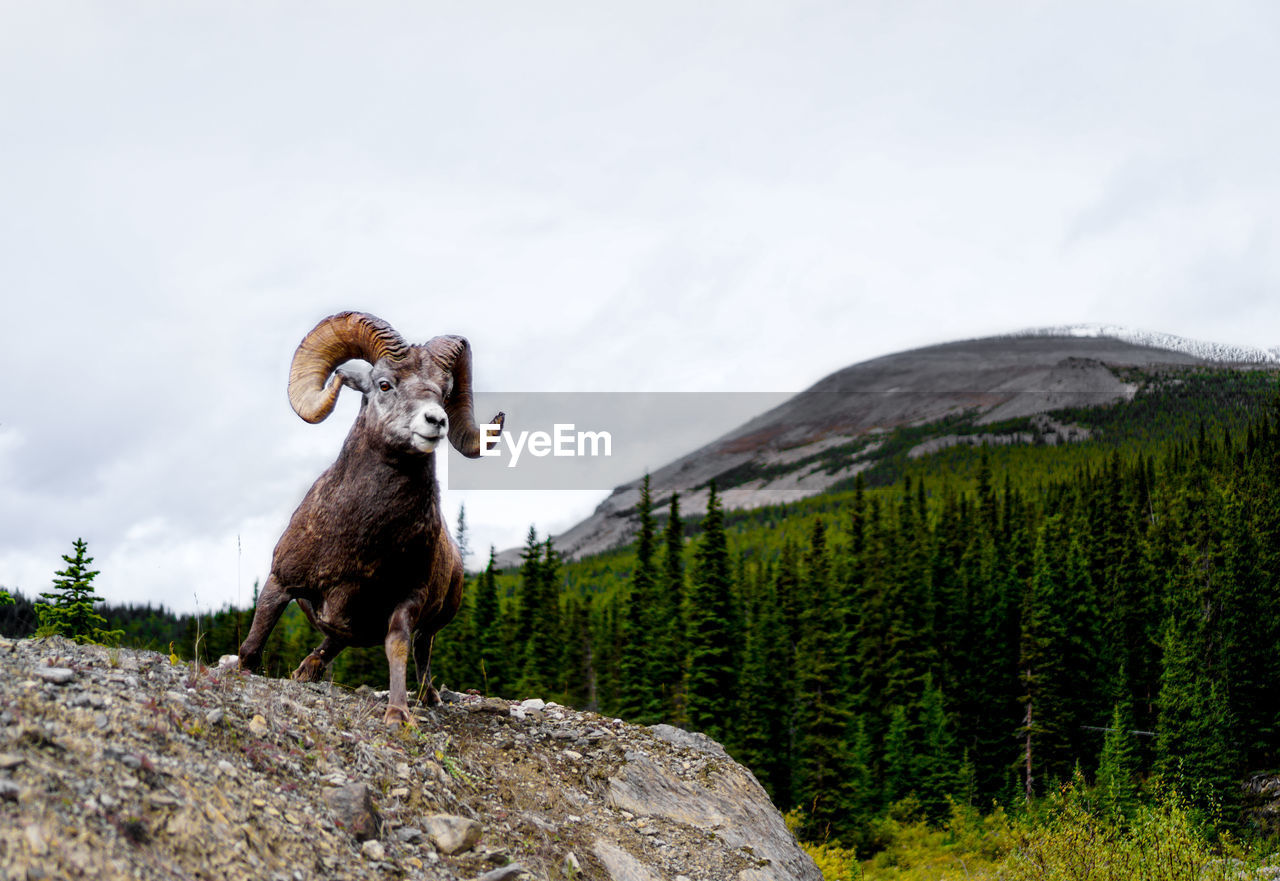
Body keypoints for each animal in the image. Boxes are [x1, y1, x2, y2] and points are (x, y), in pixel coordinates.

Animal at [238, 313, 501, 727]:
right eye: (384, 384)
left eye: (444, 393)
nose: (436, 421)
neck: (358, 541)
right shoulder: (280, 582)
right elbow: (254, 642)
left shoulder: (406, 603)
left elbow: (397, 647)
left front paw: (398, 714)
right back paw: (307, 670)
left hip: (432, 624)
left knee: (420, 653)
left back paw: (428, 698)